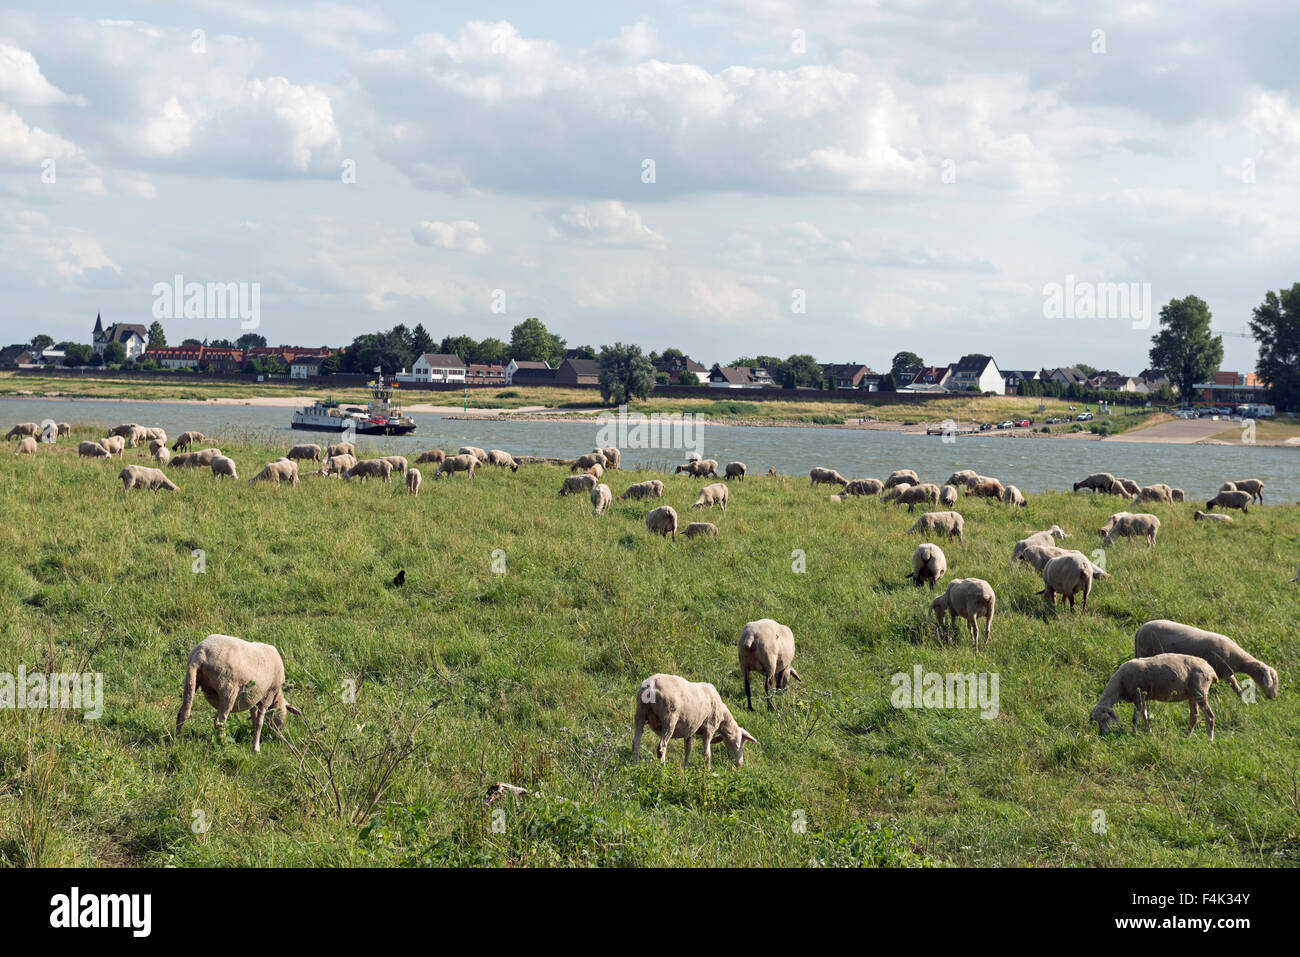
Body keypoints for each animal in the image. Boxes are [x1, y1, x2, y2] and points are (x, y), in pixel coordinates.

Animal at [1089, 654, 1218, 740]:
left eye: (1106, 719)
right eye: (1096, 720)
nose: (1103, 734)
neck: (1120, 685)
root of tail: (1211, 670)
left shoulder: (1138, 695)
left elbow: (1137, 717)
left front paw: (1138, 733)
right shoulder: (1140, 697)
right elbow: (1143, 715)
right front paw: (1144, 731)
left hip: (1200, 691)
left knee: (1210, 716)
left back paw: (1210, 739)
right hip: (1192, 694)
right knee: (1194, 716)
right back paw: (1187, 735)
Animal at [1134, 619, 1278, 701]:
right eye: (1272, 681)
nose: (1274, 697)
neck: (1239, 660)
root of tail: (1139, 630)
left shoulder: (1226, 671)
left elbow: (1234, 683)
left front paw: (1240, 694)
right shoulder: (1219, 670)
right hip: (1145, 652)